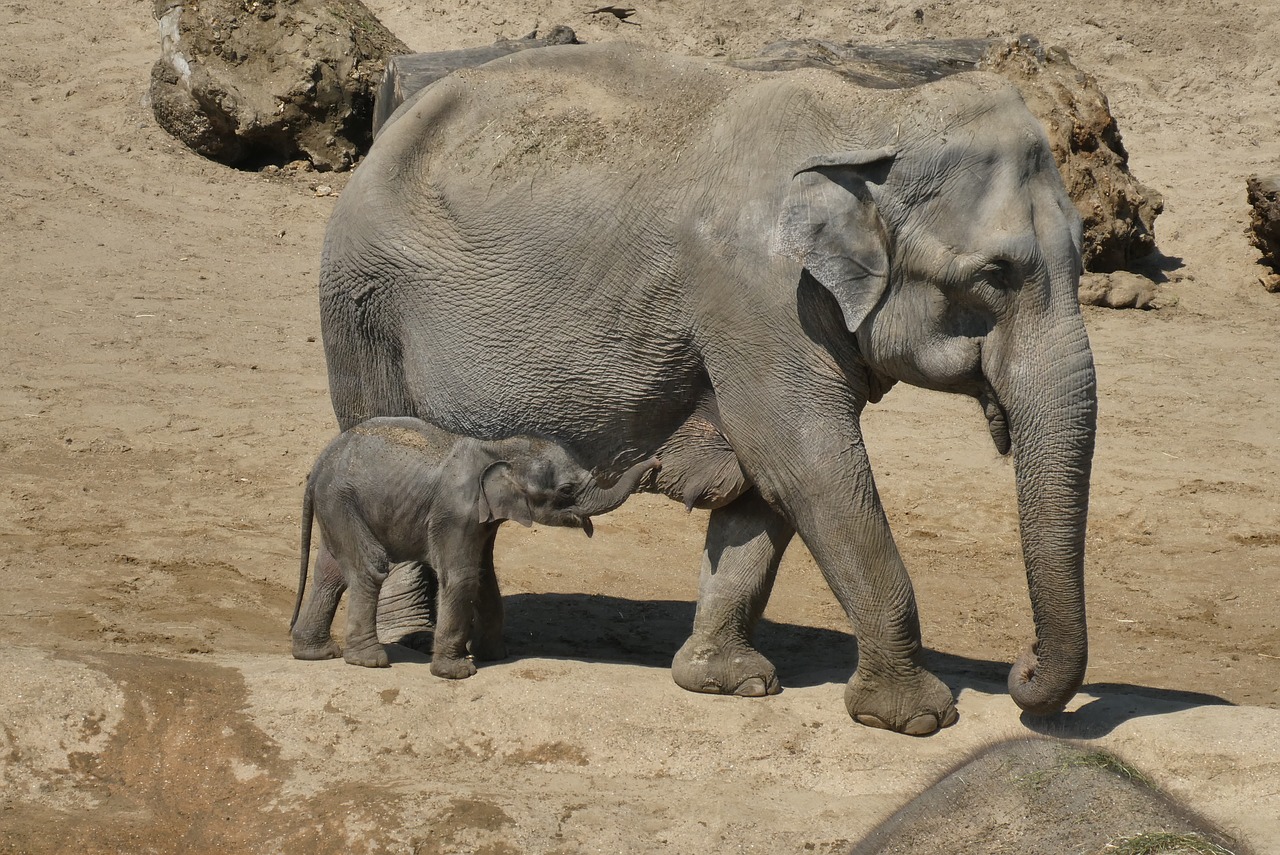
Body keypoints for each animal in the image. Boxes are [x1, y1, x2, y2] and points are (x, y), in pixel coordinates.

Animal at [291, 417, 660, 675]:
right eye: (566, 490)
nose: (656, 463)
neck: (498, 448)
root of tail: (318, 464)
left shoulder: (484, 518)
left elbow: (484, 575)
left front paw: (496, 656)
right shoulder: (456, 512)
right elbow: (463, 576)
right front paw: (457, 672)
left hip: (337, 506)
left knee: (330, 573)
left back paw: (316, 653)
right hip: (342, 500)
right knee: (369, 566)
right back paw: (369, 661)